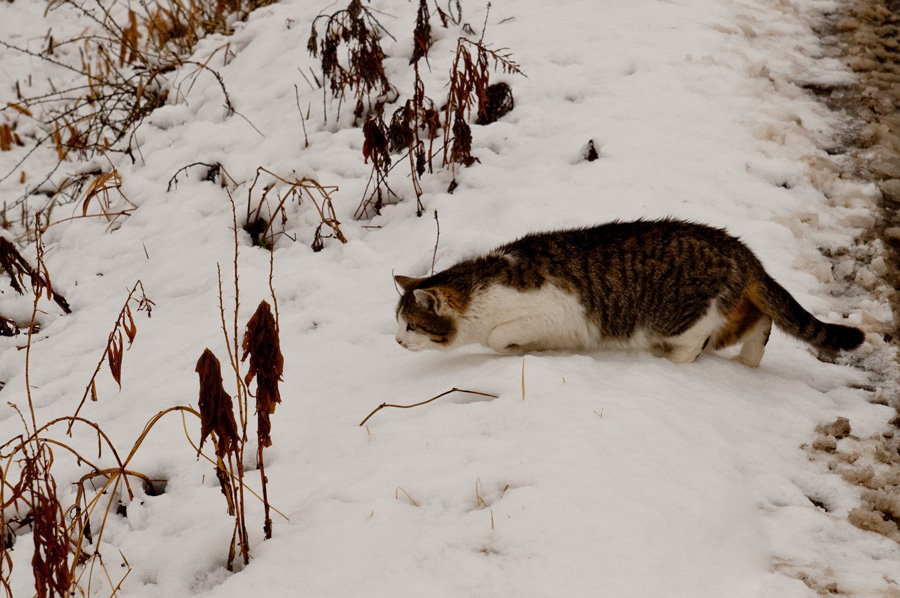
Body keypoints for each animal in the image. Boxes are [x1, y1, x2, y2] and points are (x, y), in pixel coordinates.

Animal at [392, 218, 864, 368]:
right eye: (398, 326)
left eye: (411, 326)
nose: (396, 342)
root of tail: (739, 248)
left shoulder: (554, 311)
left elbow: (497, 337)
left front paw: (514, 347)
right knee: (761, 320)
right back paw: (748, 362)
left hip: (682, 317)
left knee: (700, 340)